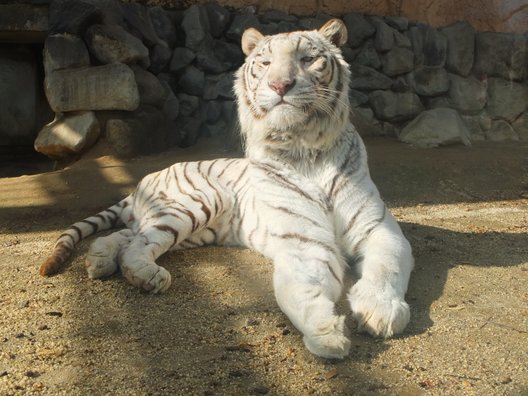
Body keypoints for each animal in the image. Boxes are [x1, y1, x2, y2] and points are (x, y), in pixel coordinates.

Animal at [40, 19, 412, 358]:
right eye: (265, 63)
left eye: (308, 59)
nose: (280, 85)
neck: (306, 149)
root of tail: (143, 181)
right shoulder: (304, 242)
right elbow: (305, 288)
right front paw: (326, 333)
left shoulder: (377, 228)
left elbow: (385, 266)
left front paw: (380, 311)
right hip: (195, 204)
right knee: (136, 246)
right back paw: (146, 276)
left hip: (190, 229)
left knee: (124, 236)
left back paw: (99, 261)